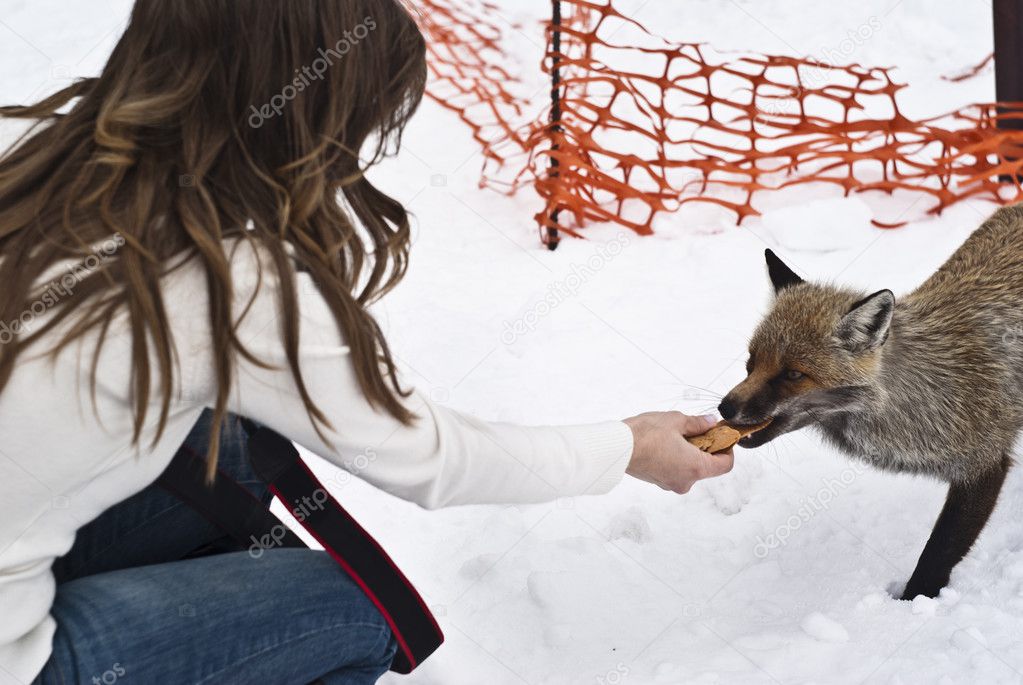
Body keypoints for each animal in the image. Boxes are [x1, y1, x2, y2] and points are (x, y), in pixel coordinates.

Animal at [720, 205, 1023, 601]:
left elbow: (938, 552)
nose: (724, 408)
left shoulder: (984, 465)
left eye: (793, 374)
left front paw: (913, 602)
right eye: (751, 363)